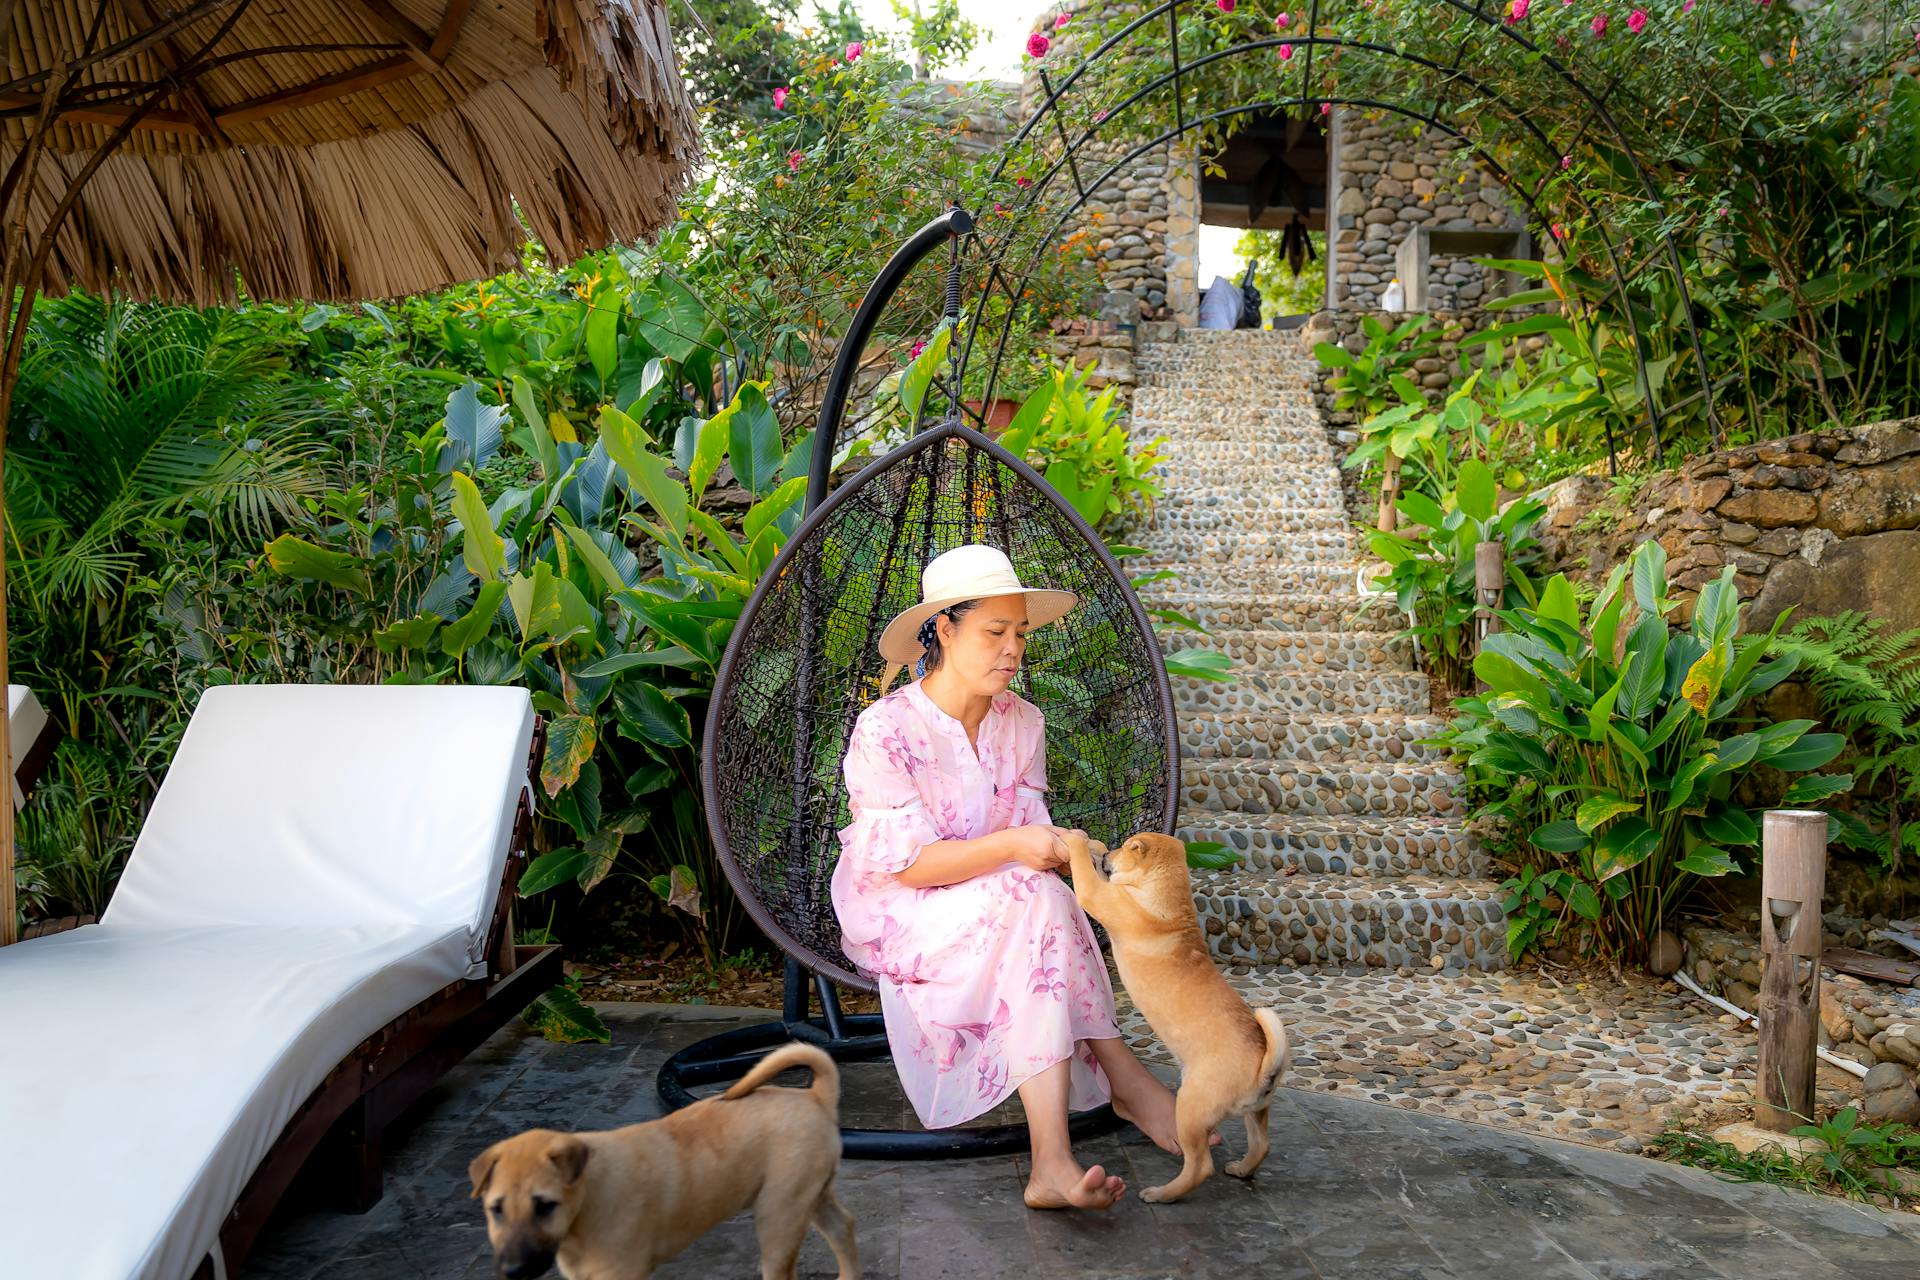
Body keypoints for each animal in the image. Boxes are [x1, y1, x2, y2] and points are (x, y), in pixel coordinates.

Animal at [464, 1043, 856, 1280]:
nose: (512, 1270)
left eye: (545, 1205)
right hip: (811, 1194)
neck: (585, 1206)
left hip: (780, 1213)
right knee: (842, 1227)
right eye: (495, 1209)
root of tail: (815, 1096)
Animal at [1067, 832, 1290, 1205]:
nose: (1109, 851)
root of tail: (1263, 1069)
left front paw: (1075, 842)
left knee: (1199, 1166)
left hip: (1189, 1108)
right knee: (1262, 1145)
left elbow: (1085, 873)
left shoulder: (1100, 896)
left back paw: (1162, 1193)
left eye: (1122, 848)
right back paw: (1241, 1169)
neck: (1168, 901)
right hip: (1255, 1111)